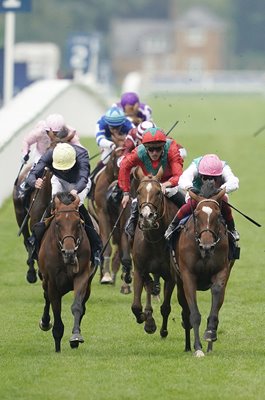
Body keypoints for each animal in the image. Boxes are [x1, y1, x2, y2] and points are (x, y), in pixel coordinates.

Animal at [36, 192, 95, 352]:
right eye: (57, 223)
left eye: (78, 223)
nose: (69, 253)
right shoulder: (52, 282)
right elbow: (56, 308)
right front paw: (57, 340)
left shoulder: (82, 276)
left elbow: (77, 306)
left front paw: (75, 336)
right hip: (45, 281)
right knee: (46, 297)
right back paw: (45, 322)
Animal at [131, 167, 178, 336]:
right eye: (138, 191)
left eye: (158, 192)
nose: (146, 216)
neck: (155, 241)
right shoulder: (139, 270)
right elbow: (136, 306)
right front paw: (146, 319)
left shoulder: (171, 276)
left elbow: (165, 307)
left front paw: (163, 331)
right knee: (150, 286)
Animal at [171, 181, 235, 356]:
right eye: (197, 214)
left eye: (218, 215)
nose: (207, 247)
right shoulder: (188, 276)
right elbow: (194, 314)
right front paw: (198, 348)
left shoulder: (221, 272)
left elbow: (216, 297)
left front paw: (210, 334)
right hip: (179, 283)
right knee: (185, 312)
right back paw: (188, 346)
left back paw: (210, 346)